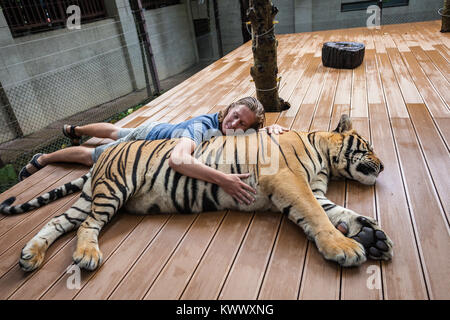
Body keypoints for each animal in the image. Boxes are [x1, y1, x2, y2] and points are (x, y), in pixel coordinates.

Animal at [0, 114, 392, 272]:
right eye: (370, 147)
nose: (385, 166)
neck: (325, 157)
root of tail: (102, 159)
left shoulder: (310, 187)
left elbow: (337, 211)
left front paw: (372, 236)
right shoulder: (290, 182)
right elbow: (318, 215)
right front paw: (347, 248)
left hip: (90, 199)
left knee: (57, 221)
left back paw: (30, 256)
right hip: (113, 189)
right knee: (85, 227)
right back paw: (86, 256)